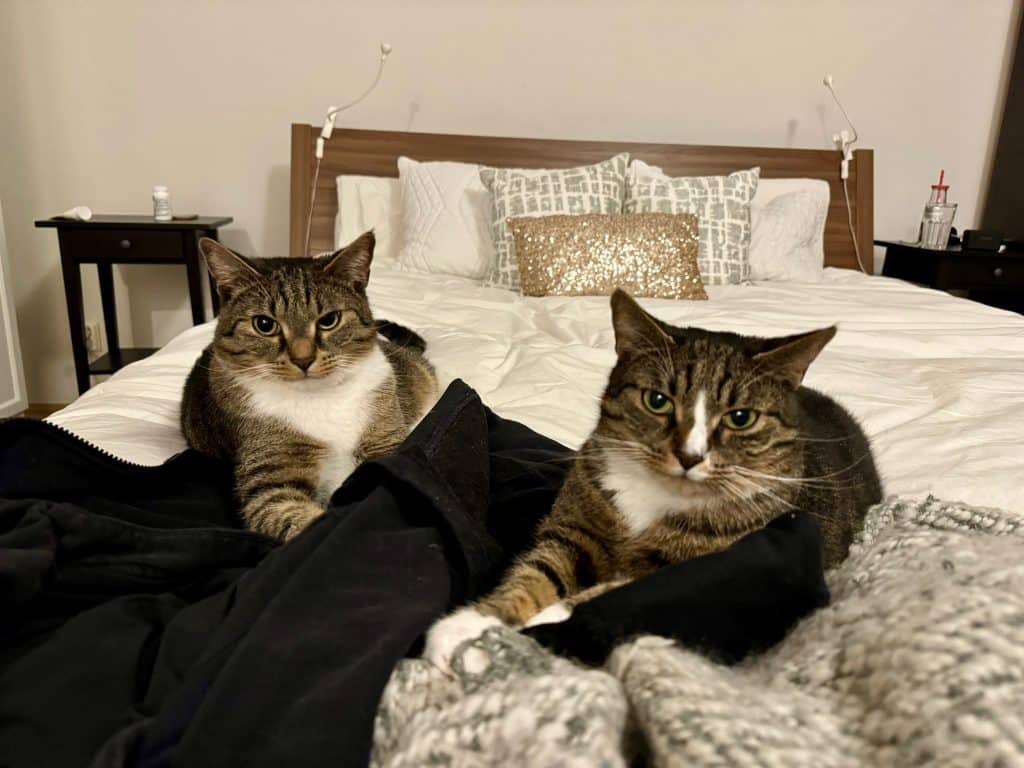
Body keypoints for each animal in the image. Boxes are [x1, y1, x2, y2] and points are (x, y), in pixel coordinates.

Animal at [182, 234, 438, 540]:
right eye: (264, 324)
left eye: (329, 320)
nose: (302, 359)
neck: (321, 396)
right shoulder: (271, 479)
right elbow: (297, 519)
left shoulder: (385, 441)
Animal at [423, 290, 880, 671]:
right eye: (657, 401)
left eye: (740, 417)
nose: (690, 457)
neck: (656, 495)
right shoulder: (577, 531)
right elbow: (538, 572)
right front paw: (473, 626)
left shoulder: (693, 561)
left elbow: (607, 591)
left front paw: (519, 635)